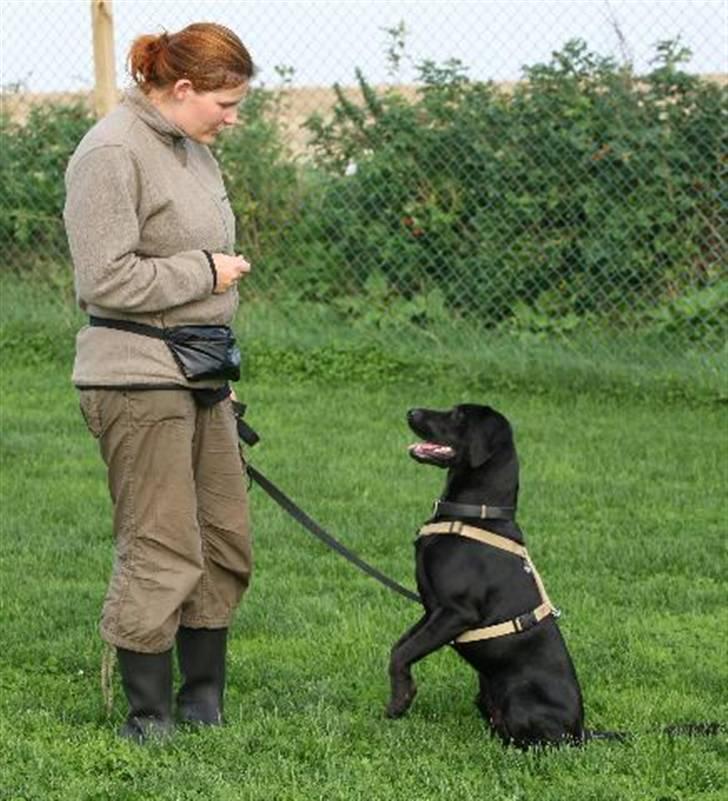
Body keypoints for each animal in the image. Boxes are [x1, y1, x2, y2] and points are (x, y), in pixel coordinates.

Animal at [386, 404, 592, 748]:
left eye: (458, 416)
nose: (411, 411)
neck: (473, 514)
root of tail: (581, 731)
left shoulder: (456, 613)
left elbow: (402, 653)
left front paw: (400, 701)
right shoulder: (431, 610)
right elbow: (399, 645)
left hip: (520, 700)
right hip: (484, 694)